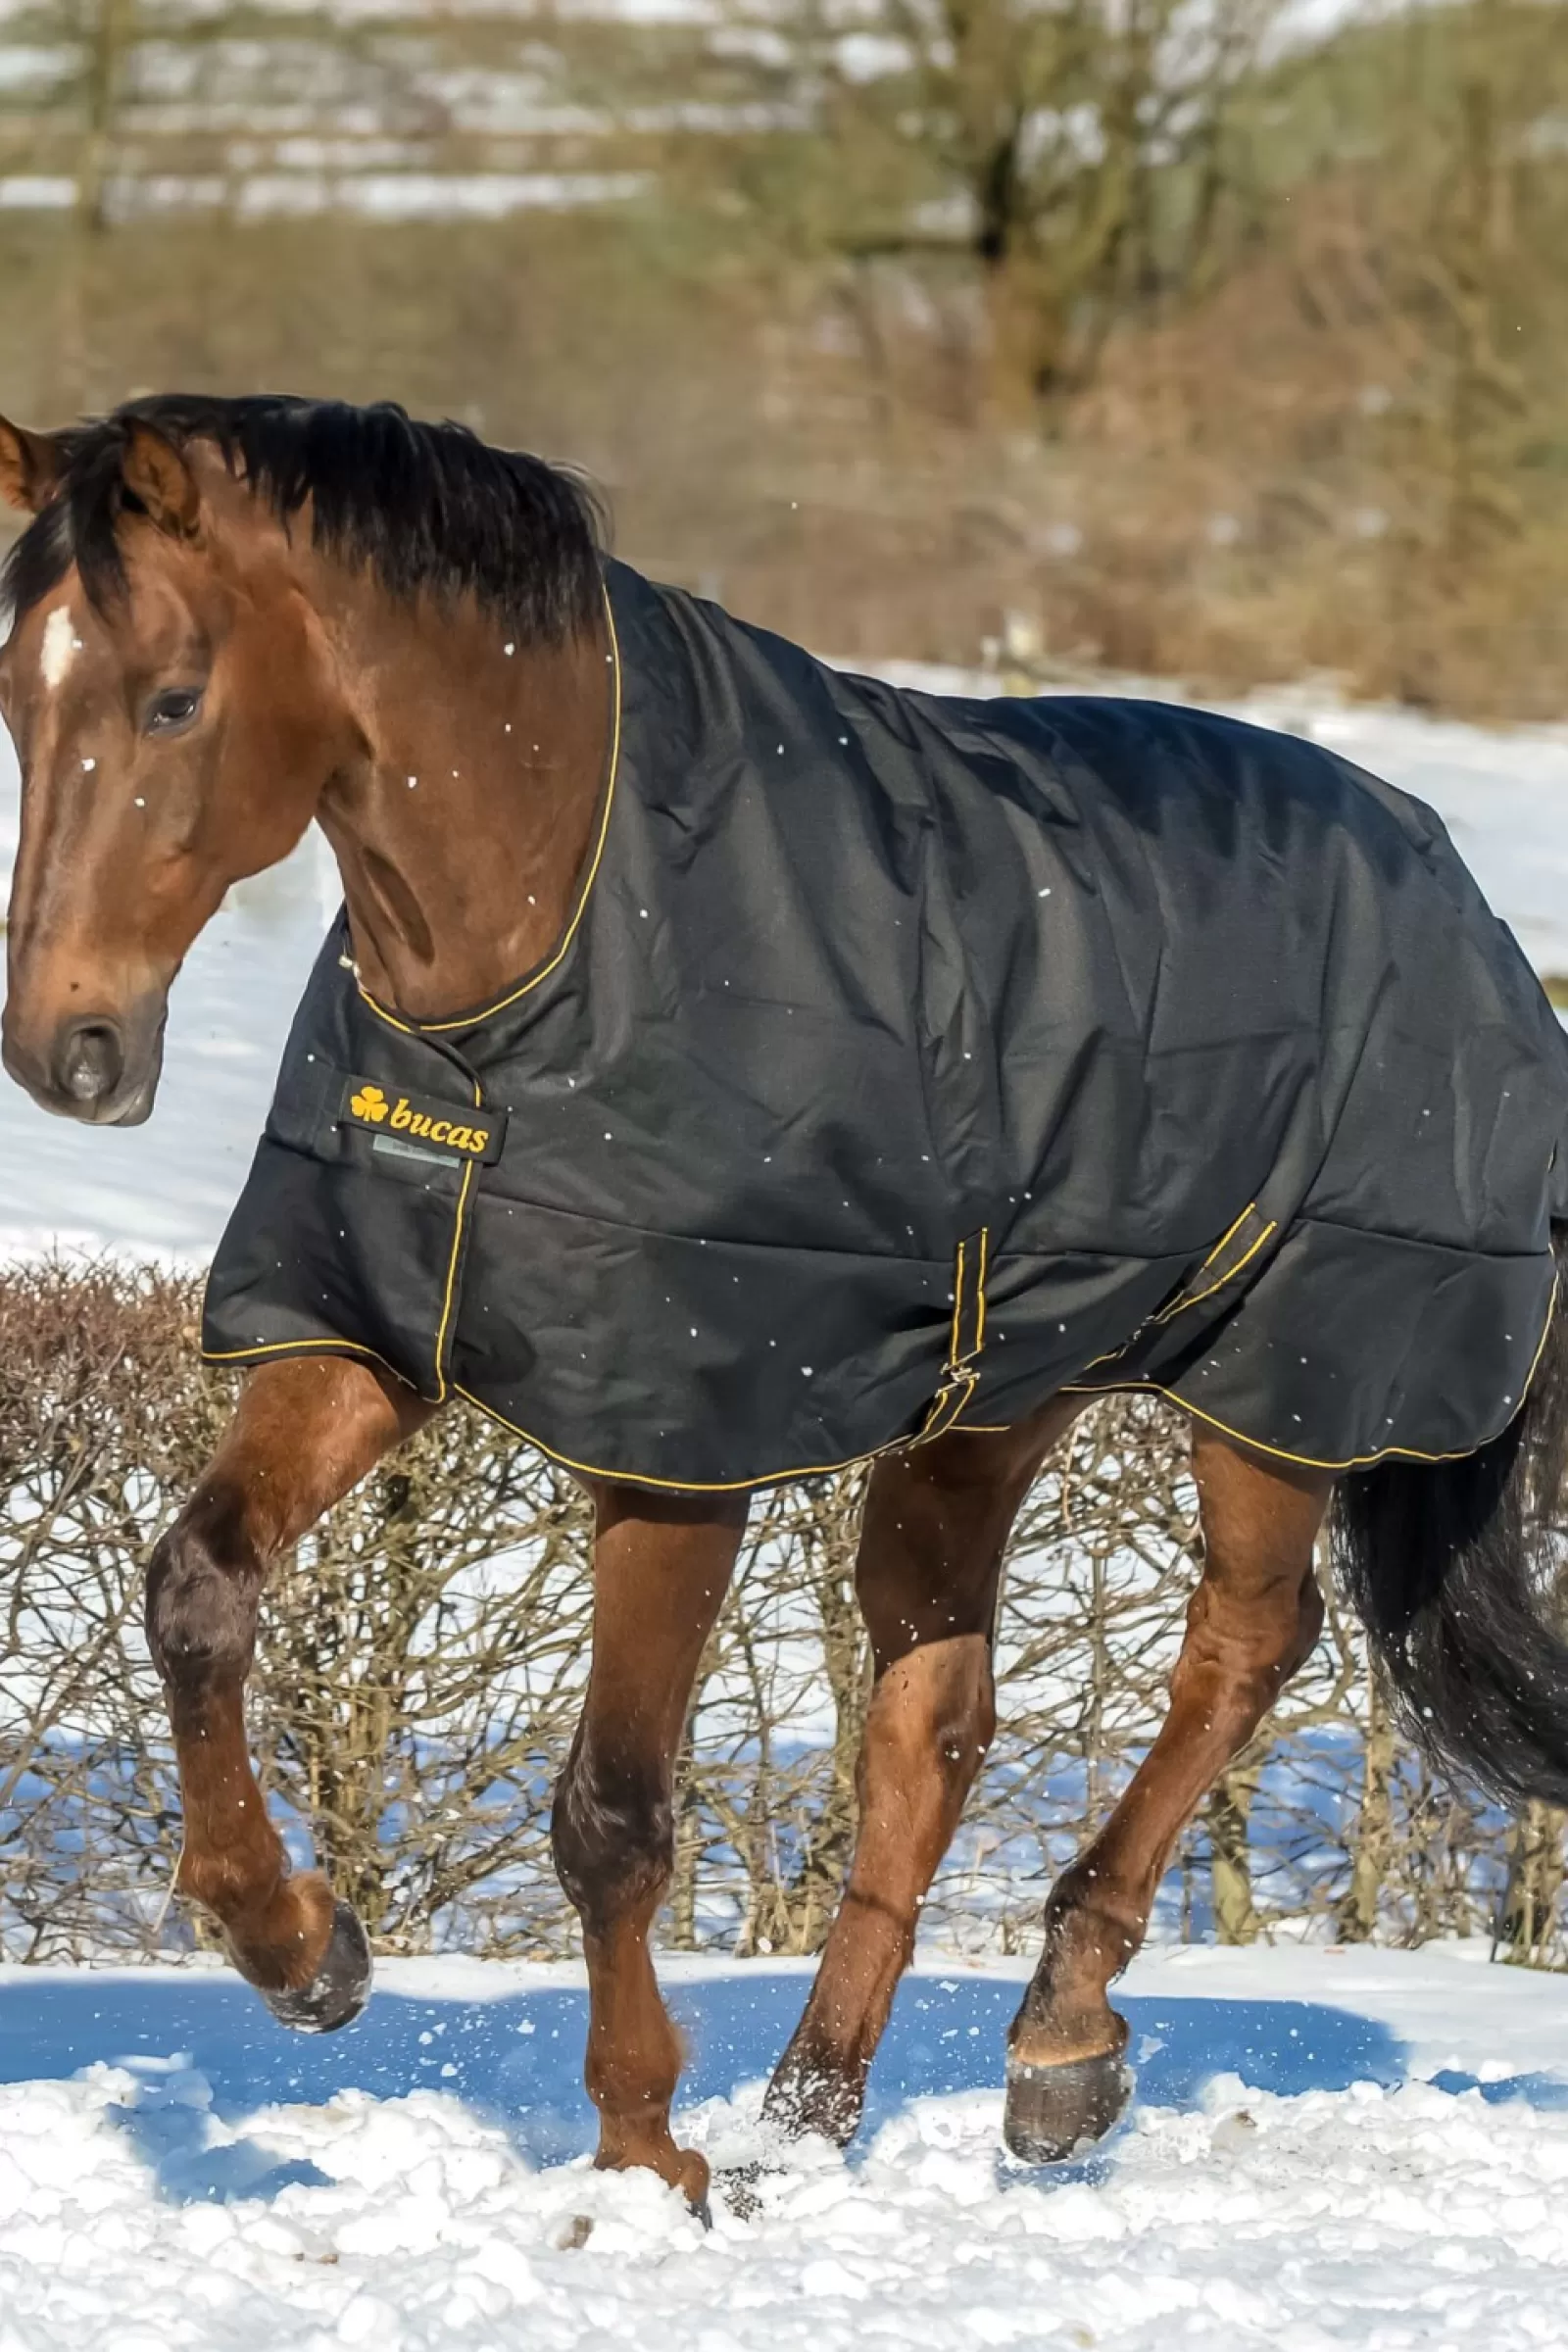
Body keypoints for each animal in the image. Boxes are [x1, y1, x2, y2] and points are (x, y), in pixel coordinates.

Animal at [3, 395, 1568, 2211]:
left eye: (173, 698)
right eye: (16, 692)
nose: (67, 1051)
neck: (538, 946)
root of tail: (1460, 892)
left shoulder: (682, 1445)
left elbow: (612, 1812)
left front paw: (645, 2153)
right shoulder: (373, 1337)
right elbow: (197, 1591)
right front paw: (299, 1948)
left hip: (1281, 1388)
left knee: (1244, 1648)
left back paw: (1057, 2045)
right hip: (993, 1403)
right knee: (932, 1718)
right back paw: (812, 2108)